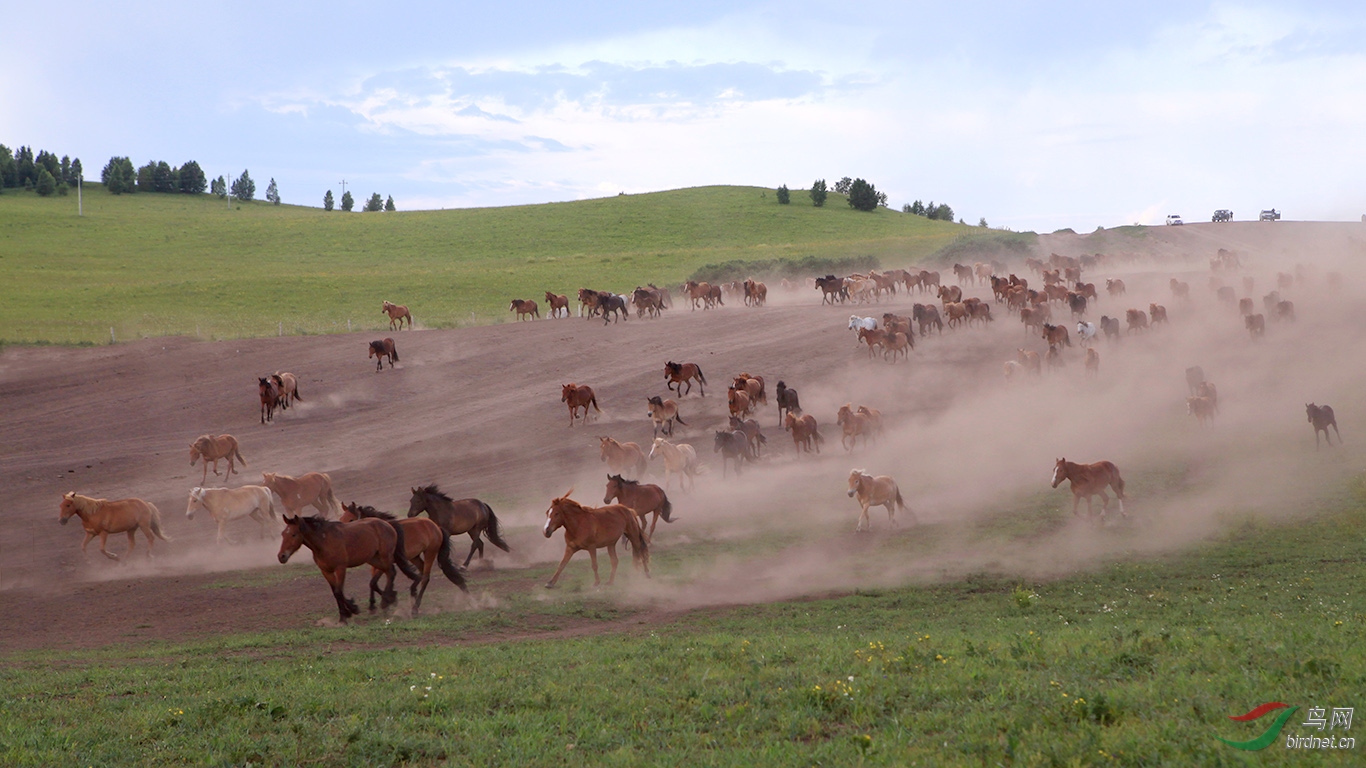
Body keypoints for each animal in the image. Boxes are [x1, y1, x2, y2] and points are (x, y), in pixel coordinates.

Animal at [278, 511, 420, 617]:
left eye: (294, 534)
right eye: (283, 534)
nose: (281, 556)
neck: (324, 541)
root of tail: (387, 524)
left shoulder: (340, 568)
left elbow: (339, 591)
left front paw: (350, 611)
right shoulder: (326, 571)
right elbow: (335, 592)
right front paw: (349, 610)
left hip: (384, 557)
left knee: (391, 573)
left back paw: (386, 602)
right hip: (374, 559)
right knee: (389, 573)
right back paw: (390, 599)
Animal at [341, 500, 469, 612]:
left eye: (351, 519)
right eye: (341, 519)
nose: (345, 536)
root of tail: (437, 527)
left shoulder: (387, 562)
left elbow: (375, 582)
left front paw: (389, 600)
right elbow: (373, 583)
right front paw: (377, 604)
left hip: (430, 552)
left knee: (425, 578)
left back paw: (415, 608)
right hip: (414, 557)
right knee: (421, 571)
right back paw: (413, 592)